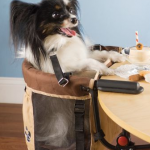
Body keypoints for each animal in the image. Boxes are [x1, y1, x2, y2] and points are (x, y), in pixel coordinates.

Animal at [9, 0, 125, 148]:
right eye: (55, 14)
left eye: (70, 10)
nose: (75, 19)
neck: (60, 43)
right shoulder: (68, 68)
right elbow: (89, 61)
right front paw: (106, 69)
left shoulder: (82, 54)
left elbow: (101, 53)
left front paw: (118, 56)